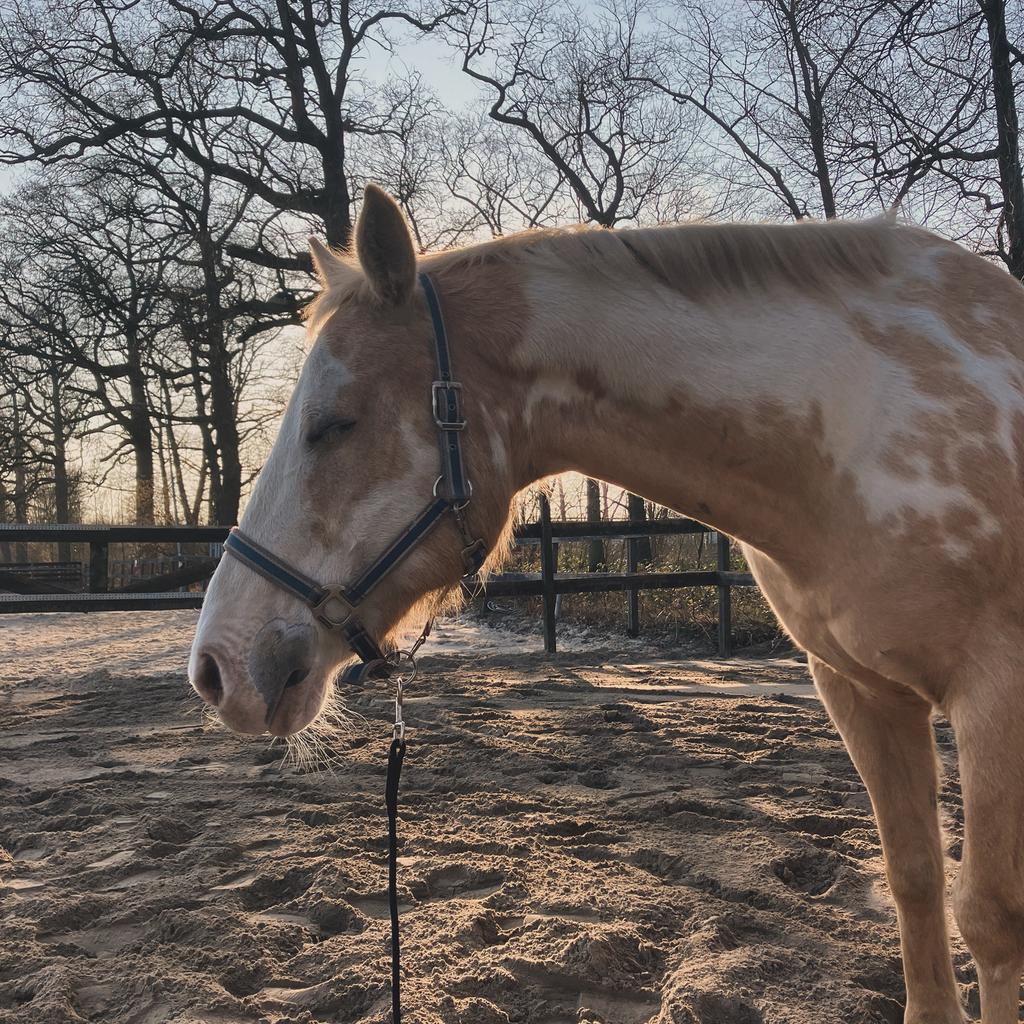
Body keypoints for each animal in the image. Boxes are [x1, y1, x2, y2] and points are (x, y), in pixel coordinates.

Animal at [190, 182, 1024, 1023]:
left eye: (336, 422)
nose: (215, 669)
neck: (860, 426)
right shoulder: (860, 690)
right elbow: (914, 878)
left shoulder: (995, 696)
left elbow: (989, 917)